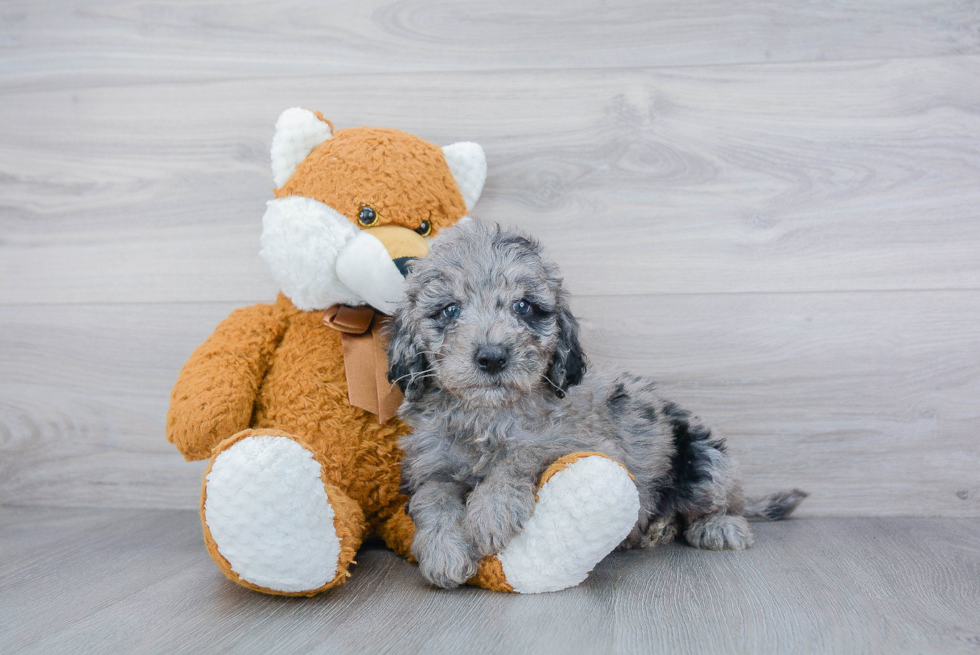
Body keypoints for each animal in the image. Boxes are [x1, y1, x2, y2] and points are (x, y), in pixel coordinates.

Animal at [386, 220, 808, 588]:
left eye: (524, 307)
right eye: (450, 310)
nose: (492, 357)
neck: (488, 417)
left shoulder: (586, 440)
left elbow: (522, 452)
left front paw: (491, 511)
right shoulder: (432, 465)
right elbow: (433, 497)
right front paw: (443, 551)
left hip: (705, 457)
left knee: (722, 500)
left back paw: (717, 527)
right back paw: (659, 529)